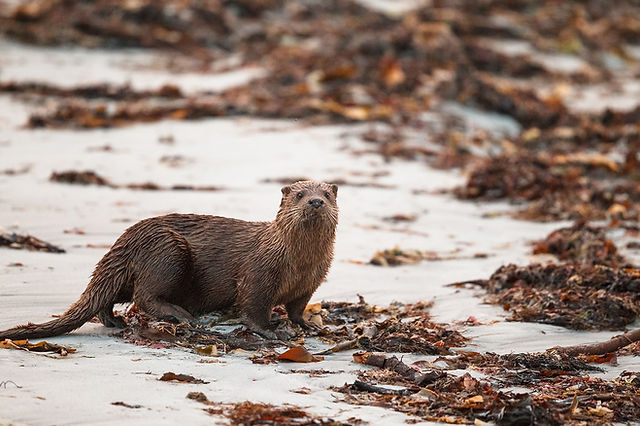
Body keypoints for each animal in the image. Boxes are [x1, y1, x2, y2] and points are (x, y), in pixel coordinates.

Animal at [0, 180, 338, 341]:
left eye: (328, 195)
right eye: (299, 195)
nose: (315, 201)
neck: (298, 262)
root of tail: (125, 240)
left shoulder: (312, 281)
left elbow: (297, 307)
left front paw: (308, 324)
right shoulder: (259, 272)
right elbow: (253, 306)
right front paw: (271, 330)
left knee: (110, 295)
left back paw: (113, 319)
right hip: (168, 251)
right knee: (144, 296)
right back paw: (182, 315)